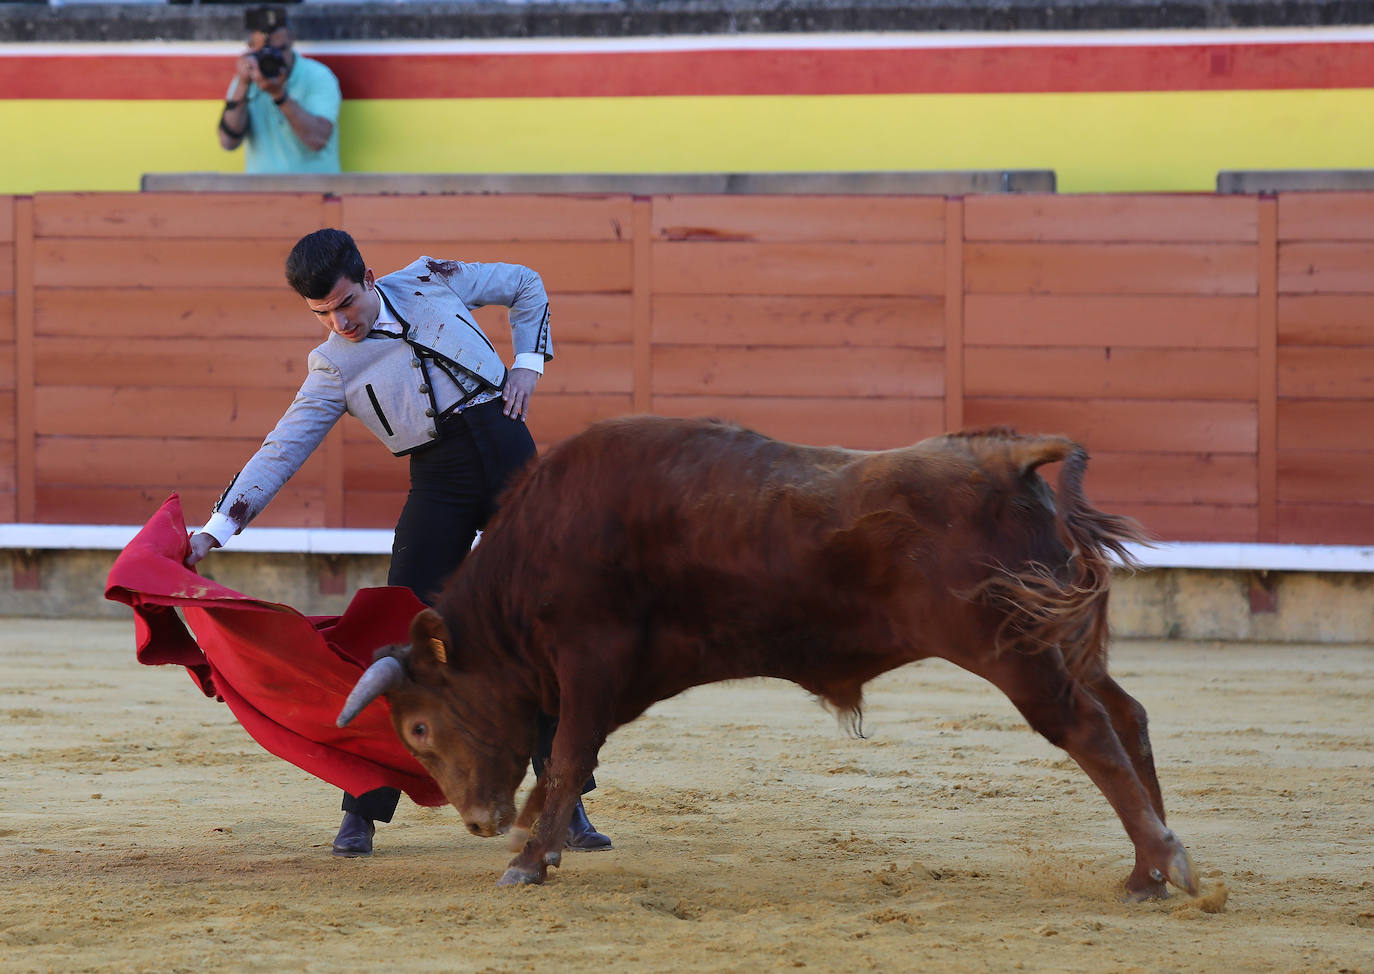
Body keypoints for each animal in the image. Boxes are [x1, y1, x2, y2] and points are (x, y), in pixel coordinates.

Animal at [338, 417, 1198, 895]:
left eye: (418, 728)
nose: (476, 821)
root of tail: (1008, 458)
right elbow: (566, 763)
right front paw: (530, 843)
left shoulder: (587, 657)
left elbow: (567, 756)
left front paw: (526, 860)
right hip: (1060, 639)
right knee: (1129, 716)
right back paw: (1147, 874)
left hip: (1012, 649)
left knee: (1087, 730)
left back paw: (1166, 862)